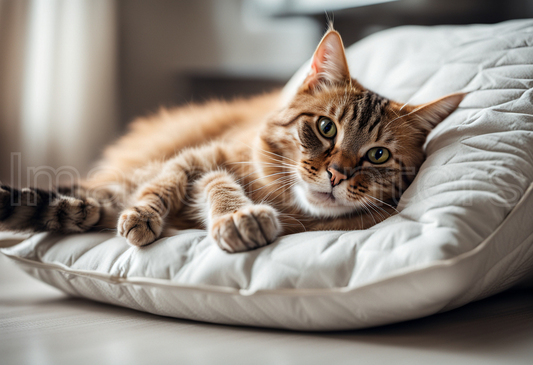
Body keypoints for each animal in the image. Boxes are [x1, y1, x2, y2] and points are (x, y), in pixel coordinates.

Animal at [0, 28, 462, 252]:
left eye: (377, 155)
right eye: (326, 128)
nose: (336, 174)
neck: (285, 200)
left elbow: (207, 184)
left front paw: (238, 216)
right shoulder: (199, 157)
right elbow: (177, 183)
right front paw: (232, 215)